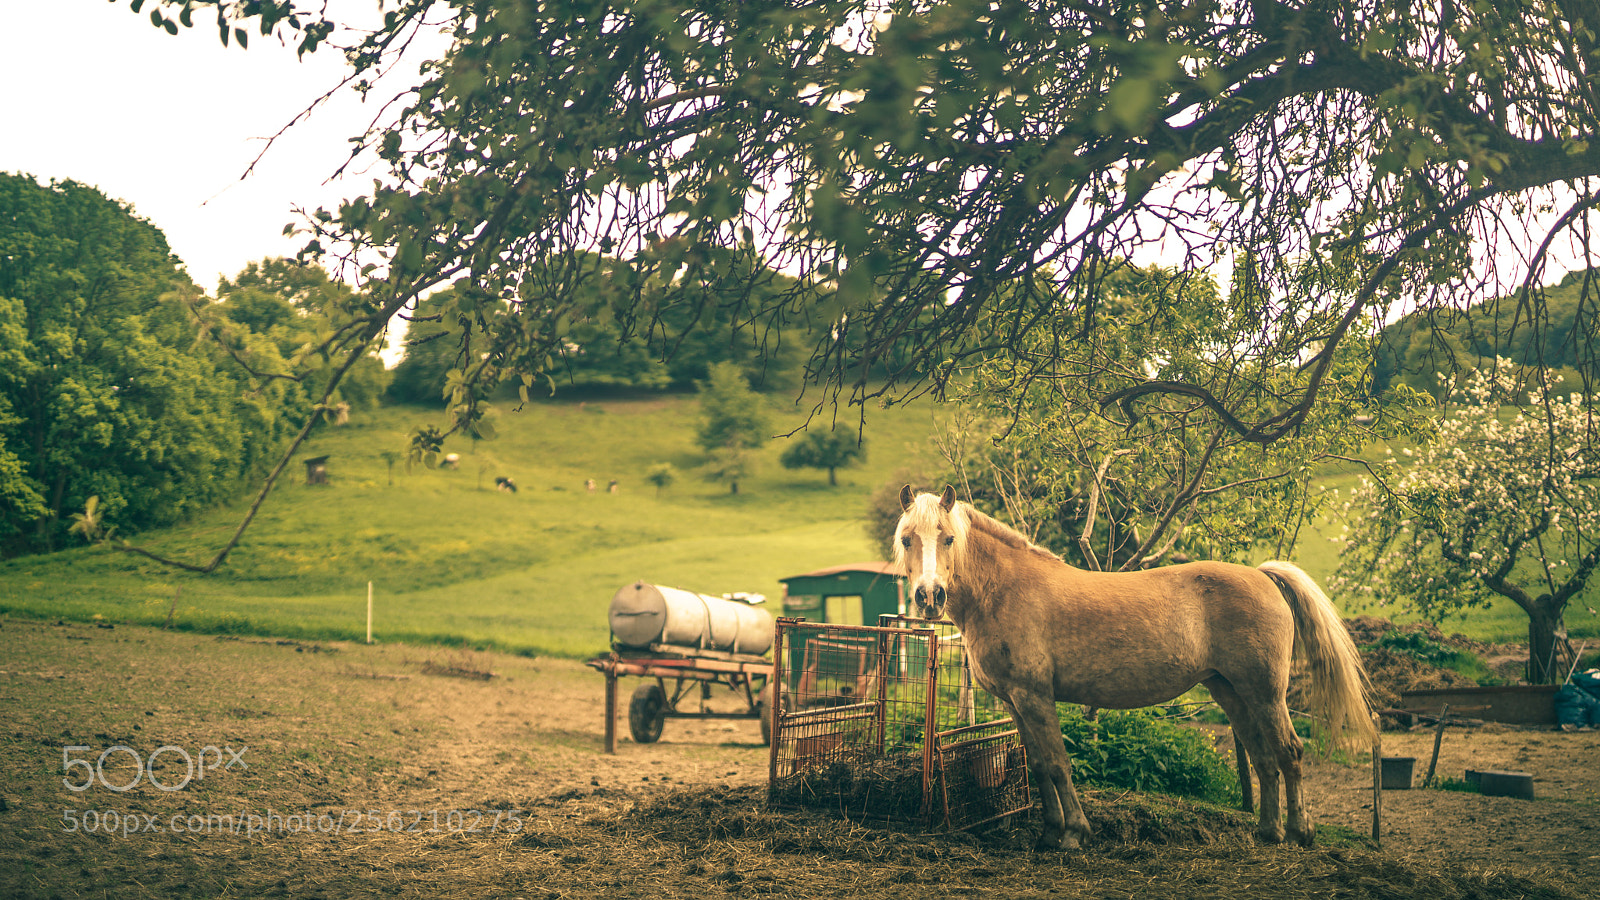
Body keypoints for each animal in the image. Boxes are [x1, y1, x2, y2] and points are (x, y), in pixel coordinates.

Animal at [893, 486, 1375, 850]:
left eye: (948, 538)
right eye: (907, 539)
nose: (929, 597)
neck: (1004, 591)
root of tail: (1261, 575)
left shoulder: (1036, 697)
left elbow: (1058, 764)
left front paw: (1074, 834)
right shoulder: (1015, 702)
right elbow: (1039, 767)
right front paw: (1049, 834)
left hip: (1266, 693)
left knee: (1290, 752)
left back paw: (1299, 833)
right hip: (1231, 692)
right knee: (1263, 757)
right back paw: (1268, 832)